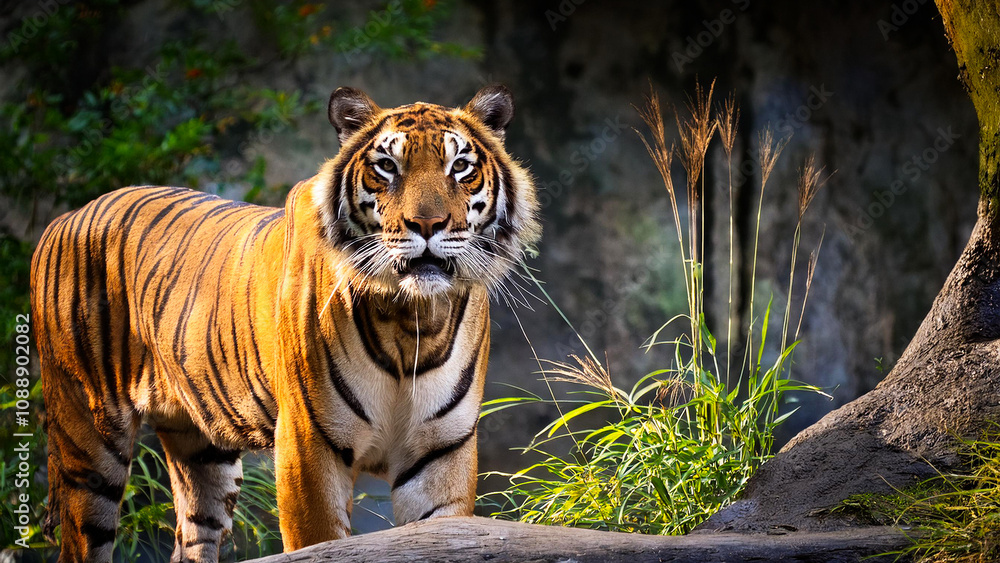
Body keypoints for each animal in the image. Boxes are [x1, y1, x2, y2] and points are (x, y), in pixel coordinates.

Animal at [29, 84, 540, 563]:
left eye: (460, 167)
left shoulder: (439, 451)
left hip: (202, 451)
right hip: (90, 440)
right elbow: (319, 543)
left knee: (192, 535)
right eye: (387, 167)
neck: (412, 318)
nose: (428, 224)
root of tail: (63, 219)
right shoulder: (308, 445)